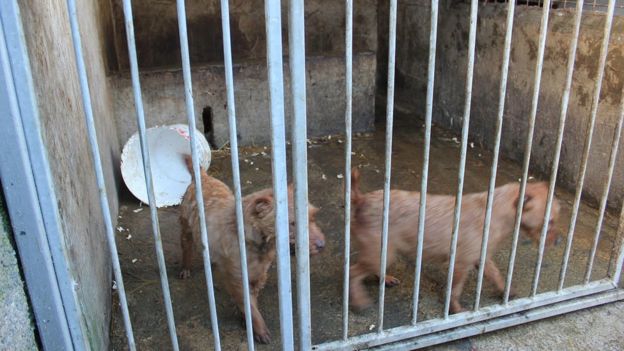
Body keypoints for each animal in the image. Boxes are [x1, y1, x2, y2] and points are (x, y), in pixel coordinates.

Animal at [178, 157, 324, 344]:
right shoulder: (237, 279)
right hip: (186, 230)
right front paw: (259, 329)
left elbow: (249, 303)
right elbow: (250, 307)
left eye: (313, 216)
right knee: (186, 248)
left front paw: (244, 318)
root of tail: (202, 176)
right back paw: (185, 268)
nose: (322, 245)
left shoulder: (258, 276)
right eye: (293, 223)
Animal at [348, 169, 560, 314]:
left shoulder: (481, 257)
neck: (495, 210)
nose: (557, 242)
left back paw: (385, 278)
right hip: (380, 251)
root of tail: (362, 199)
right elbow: (455, 290)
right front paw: (456, 309)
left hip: (382, 252)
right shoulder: (461, 263)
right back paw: (359, 300)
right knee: (352, 272)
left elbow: (495, 273)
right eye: (549, 222)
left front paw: (506, 291)